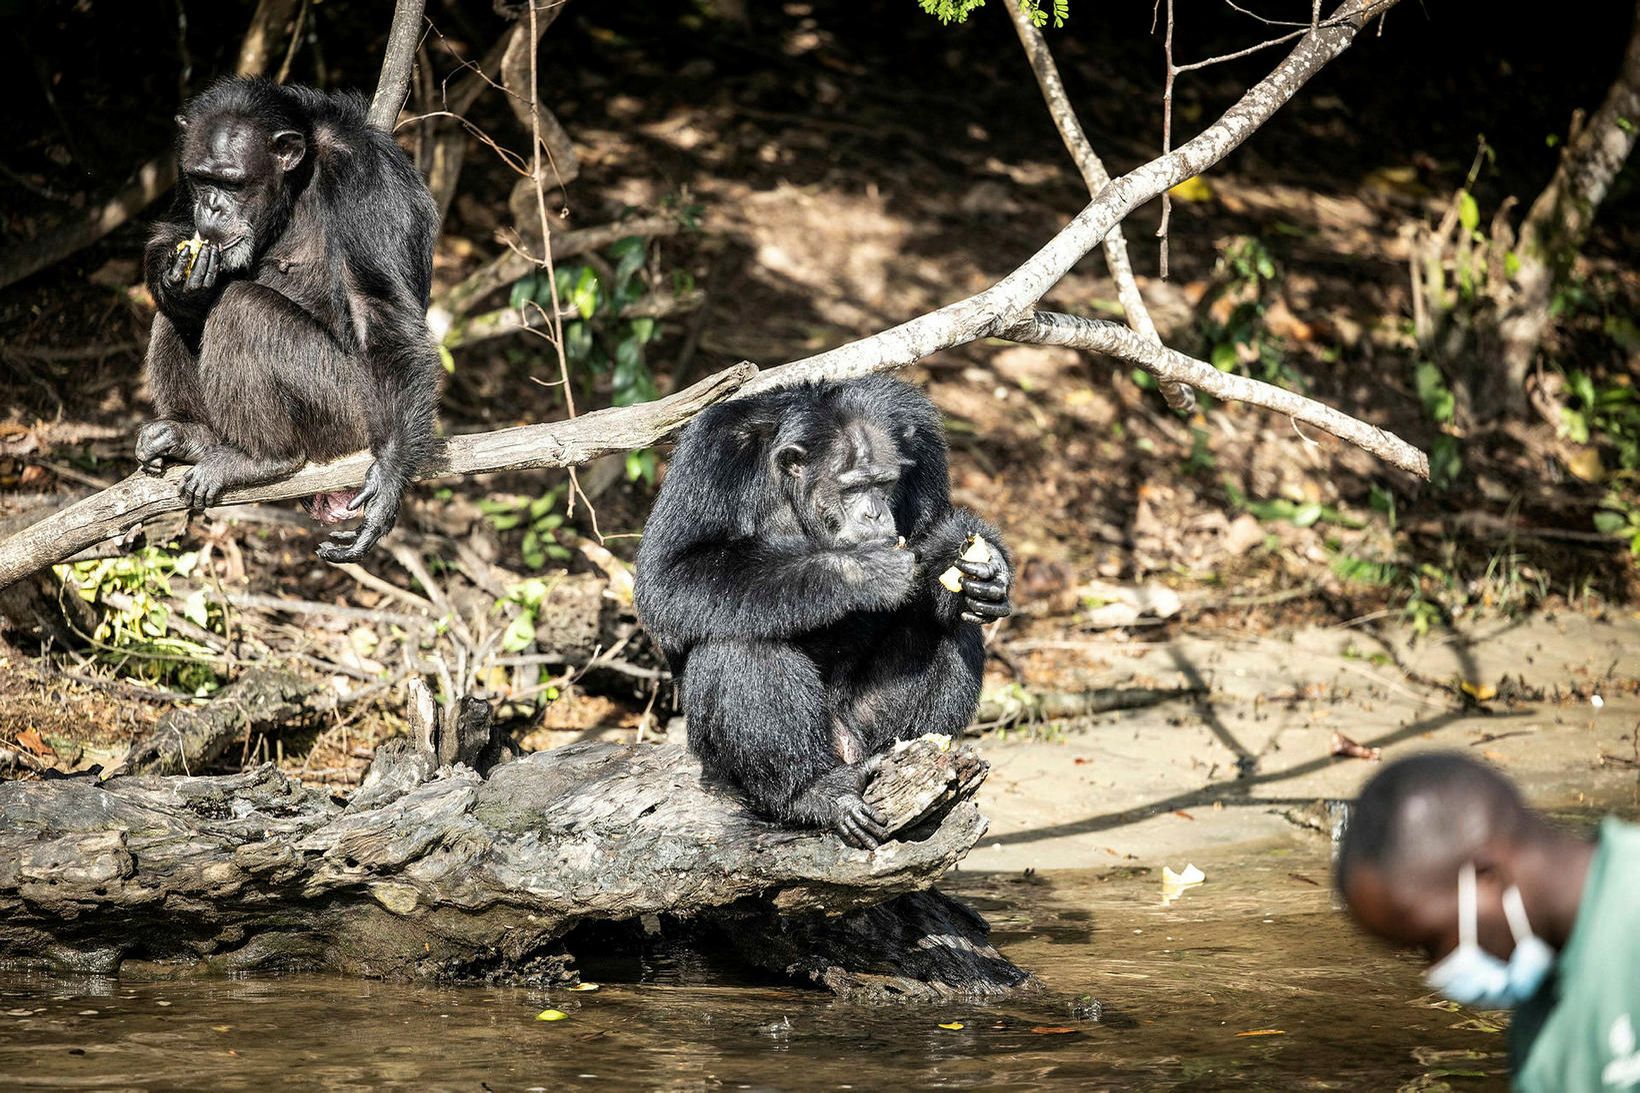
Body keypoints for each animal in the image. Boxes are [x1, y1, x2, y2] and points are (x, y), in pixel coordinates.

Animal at [136, 74, 439, 561]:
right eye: (202, 179)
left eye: (233, 184)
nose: (212, 206)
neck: (299, 178)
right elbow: (175, 229)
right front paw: (177, 278)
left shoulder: (370, 181)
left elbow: (379, 310)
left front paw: (390, 478)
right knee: (177, 317)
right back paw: (191, 434)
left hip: (349, 417)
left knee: (244, 310)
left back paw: (262, 459)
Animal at [636, 379, 1010, 846]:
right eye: (850, 488)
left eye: (884, 483)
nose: (874, 512)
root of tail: (844, 750)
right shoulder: (712, 451)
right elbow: (671, 573)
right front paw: (865, 570)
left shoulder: (923, 441)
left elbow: (931, 531)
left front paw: (988, 567)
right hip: (725, 763)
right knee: (737, 642)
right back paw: (814, 791)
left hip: (863, 727)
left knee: (951, 629)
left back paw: (910, 757)